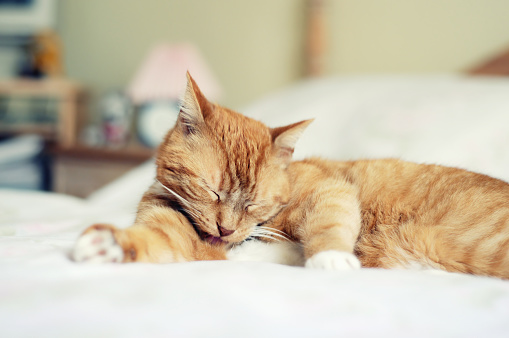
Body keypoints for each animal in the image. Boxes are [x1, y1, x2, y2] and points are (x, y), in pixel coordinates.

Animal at [73, 73, 508, 278]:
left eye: (254, 204)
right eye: (211, 192)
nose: (225, 229)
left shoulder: (329, 190)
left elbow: (330, 223)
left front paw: (331, 258)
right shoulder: (174, 233)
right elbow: (152, 241)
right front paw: (108, 245)